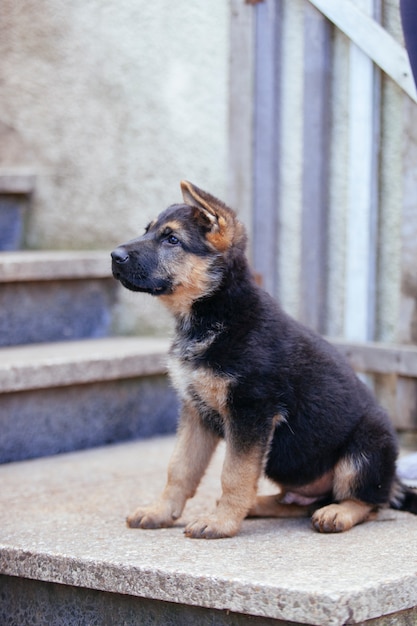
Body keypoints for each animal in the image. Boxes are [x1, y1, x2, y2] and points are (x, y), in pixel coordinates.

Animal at [110, 180, 416, 536]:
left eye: (172, 239)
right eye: (147, 230)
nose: (114, 256)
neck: (215, 313)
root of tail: (394, 480)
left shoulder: (251, 411)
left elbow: (235, 472)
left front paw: (222, 523)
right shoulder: (195, 411)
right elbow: (180, 467)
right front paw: (161, 511)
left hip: (367, 446)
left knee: (369, 503)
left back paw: (338, 512)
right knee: (299, 501)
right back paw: (257, 505)